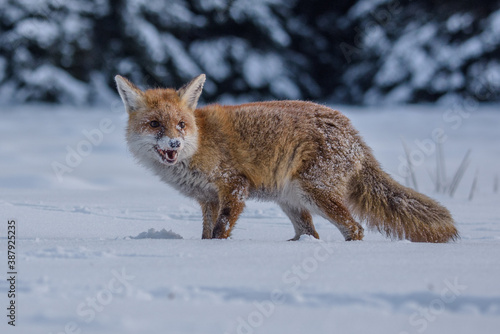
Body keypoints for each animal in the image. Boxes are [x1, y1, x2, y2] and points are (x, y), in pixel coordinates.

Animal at [115, 73, 458, 243]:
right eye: (155, 124)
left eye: (181, 124)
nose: (174, 143)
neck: (200, 143)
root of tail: (353, 134)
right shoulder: (207, 200)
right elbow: (206, 233)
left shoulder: (234, 186)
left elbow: (220, 231)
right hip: (291, 200)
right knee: (311, 233)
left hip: (314, 193)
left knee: (356, 229)